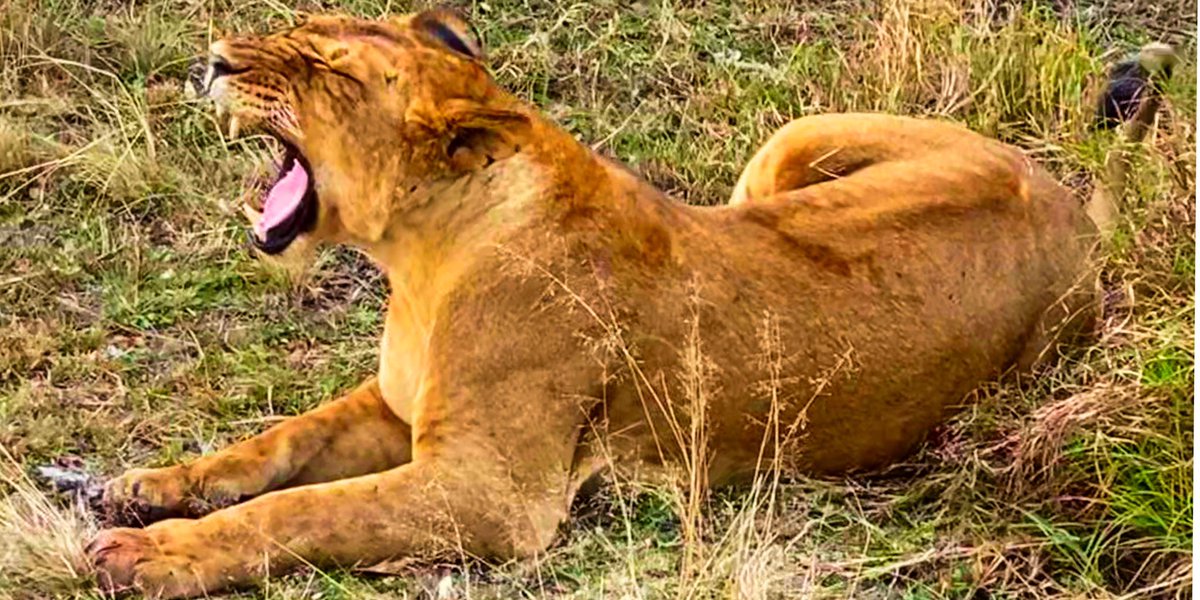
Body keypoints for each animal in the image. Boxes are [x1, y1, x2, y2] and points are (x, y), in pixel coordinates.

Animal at [86, 10, 1174, 597]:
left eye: (328, 70)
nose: (217, 58)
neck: (421, 256)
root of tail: (1075, 212)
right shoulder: (394, 408)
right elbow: (274, 448)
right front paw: (151, 486)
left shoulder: (493, 494)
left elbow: (303, 511)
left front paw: (148, 556)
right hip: (786, 148)